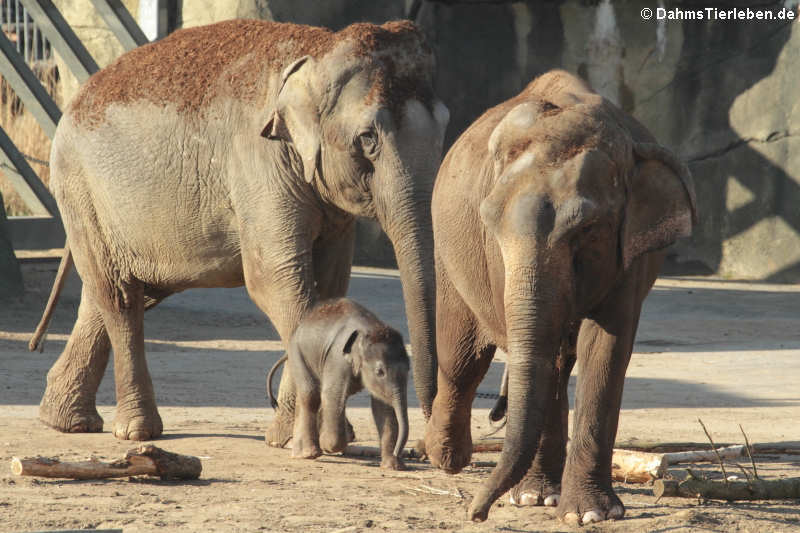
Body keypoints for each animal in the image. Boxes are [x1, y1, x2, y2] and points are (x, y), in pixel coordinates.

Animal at [29, 19, 444, 444]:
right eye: (368, 139)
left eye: (445, 128)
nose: (423, 441)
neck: (318, 50)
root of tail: (76, 98)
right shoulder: (258, 162)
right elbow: (273, 281)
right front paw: (304, 438)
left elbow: (331, 285)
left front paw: (324, 435)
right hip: (80, 187)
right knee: (120, 297)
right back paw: (136, 432)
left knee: (108, 293)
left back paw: (66, 421)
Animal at [268, 300, 410, 470]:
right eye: (380, 372)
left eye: (409, 368)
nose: (398, 454)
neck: (370, 329)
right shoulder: (337, 359)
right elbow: (332, 394)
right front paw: (328, 445)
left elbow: (382, 405)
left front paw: (393, 466)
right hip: (299, 354)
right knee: (312, 394)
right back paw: (309, 453)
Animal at [424, 70, 692, 524]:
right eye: (489, 223)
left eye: (586, 229)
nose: (476, 514)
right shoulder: (496, 258)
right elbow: (537, 353)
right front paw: (536, 498)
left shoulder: (628, 255)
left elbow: (605, 347)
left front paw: (591, 514)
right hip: (447, 253)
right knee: (462, 355)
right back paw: (446, 456)